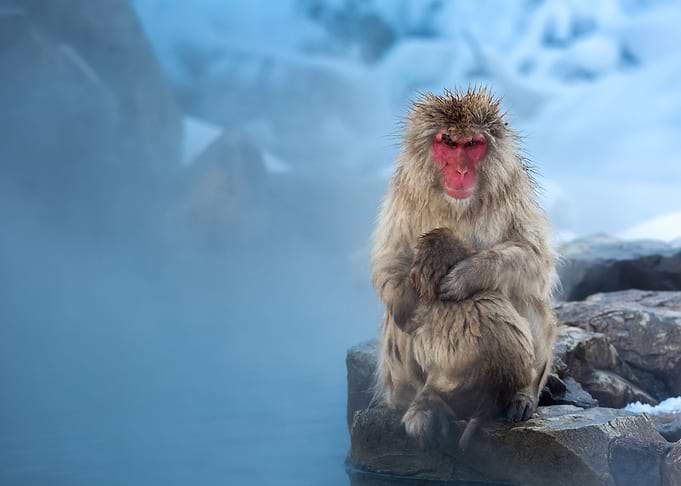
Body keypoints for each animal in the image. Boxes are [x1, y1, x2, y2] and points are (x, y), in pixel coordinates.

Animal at [370, 87, 558, 449]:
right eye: (447, 142)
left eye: (471, 144)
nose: (459, 171)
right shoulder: (402, 191)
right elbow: (390, 260)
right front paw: (410, 302)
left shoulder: (513, 188)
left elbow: (534, 258)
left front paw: (466, 275)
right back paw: (423, 406)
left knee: (526, 294)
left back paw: (522, 395)